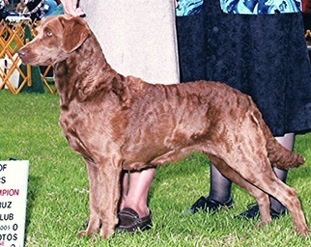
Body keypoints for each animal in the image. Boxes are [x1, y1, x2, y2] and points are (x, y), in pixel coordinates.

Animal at [18, 14, 310, 237]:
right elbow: (94, 203)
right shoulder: (92, 163)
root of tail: (245, 98)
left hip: (246, 158)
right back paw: (264, 228)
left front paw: (104, 237)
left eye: (49, 33)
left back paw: (301, 232)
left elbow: (107, 204)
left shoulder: (108, 161)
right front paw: (88, 235)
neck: (87, 88)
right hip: (228, 163)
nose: (21, 52)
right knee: (262, 194)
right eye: (37, 31)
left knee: (288, 193)